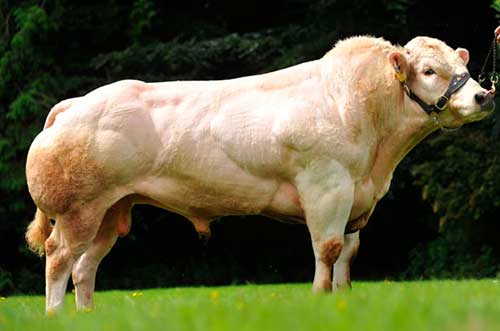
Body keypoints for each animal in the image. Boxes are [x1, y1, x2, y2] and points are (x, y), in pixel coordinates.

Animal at [24, 35, 492, 314]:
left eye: (462, 66)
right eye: (429, 71)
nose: (483, 95)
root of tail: (74, 103)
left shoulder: (357, 198)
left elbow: (349, 253)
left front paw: (341, 299)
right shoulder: (326, 186)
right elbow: (328, 248)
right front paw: (319, 298)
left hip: (110, 211)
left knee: (85, 267)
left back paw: (85, 316)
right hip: (79, 209)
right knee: (60, 257)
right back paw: (55, 315)